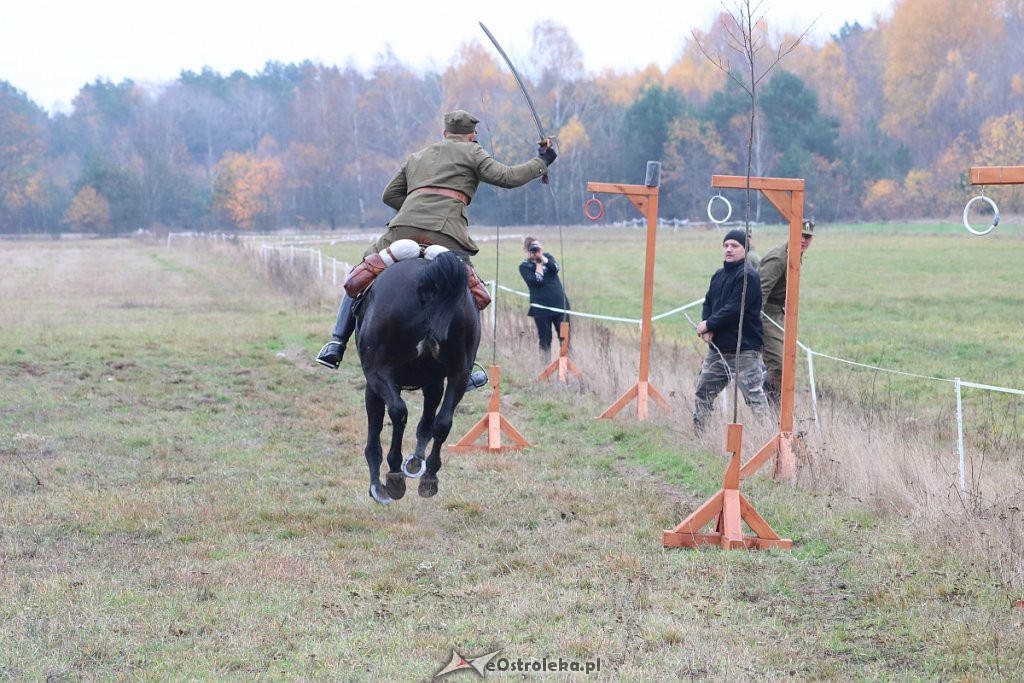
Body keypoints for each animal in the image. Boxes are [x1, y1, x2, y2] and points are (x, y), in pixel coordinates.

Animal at [352, 253, 479, 505]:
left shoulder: (374, 383)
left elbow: (376, 429)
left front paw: (377, 485)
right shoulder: (435, 383)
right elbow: (427, 425)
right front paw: (416, 462)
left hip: (379, 373)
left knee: (398, 412)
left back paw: (394, 474)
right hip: (459, 375)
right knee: (442, 423)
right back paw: (429, 476)